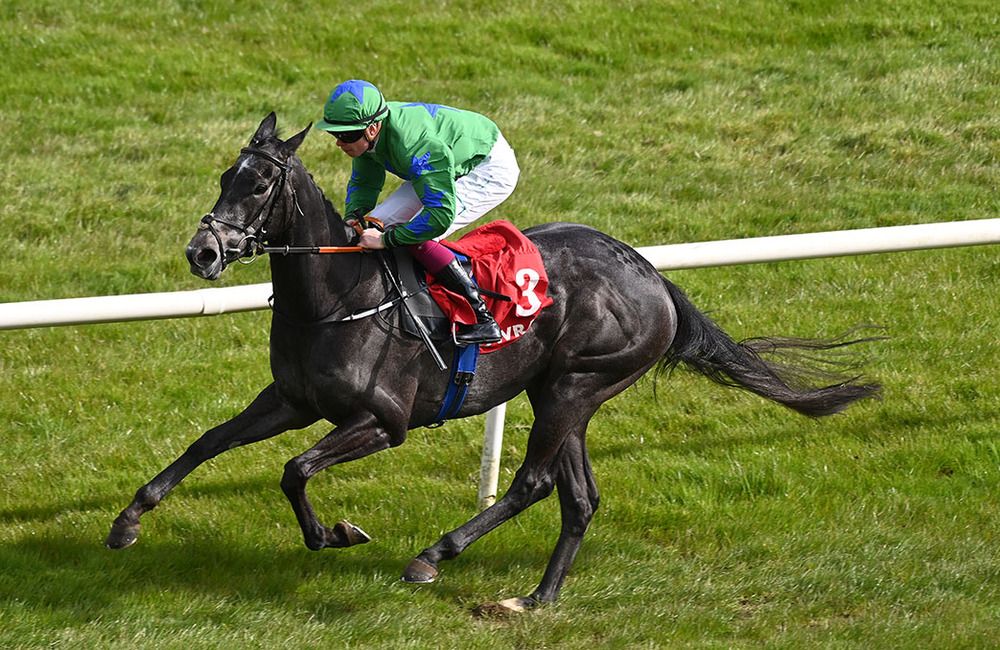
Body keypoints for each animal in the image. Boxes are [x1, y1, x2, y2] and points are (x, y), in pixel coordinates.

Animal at [106, 113, 880, 612]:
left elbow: (294, 470)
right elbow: (207, 442)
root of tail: (652, 276)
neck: (335, 296)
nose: (203, 252)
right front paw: (128, 521)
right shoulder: (292, 400)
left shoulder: (382, 422)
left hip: (575, 384)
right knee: (579, 496)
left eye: (260, 185)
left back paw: (433, 556)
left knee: (534, 482)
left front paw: (333, 533)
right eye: (223, 175)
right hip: (558, 392)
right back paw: (538, 597)